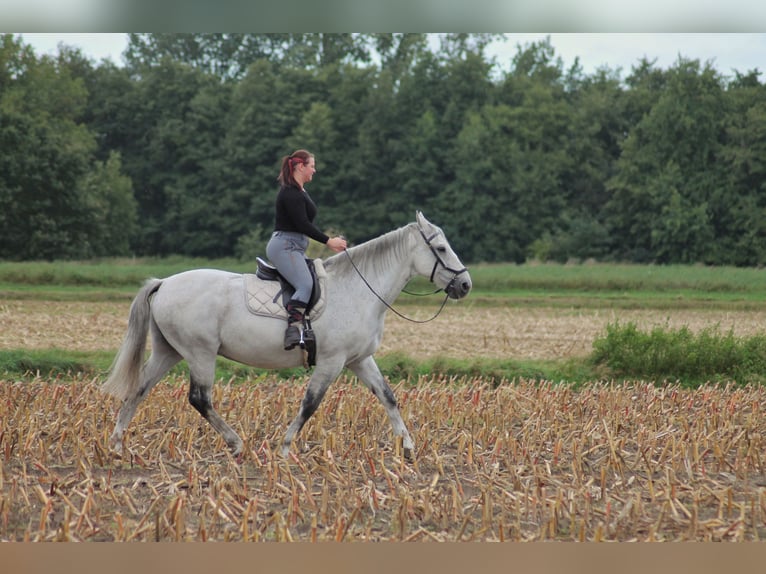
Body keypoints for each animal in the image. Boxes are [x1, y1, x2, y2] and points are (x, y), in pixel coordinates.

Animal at [102, 211, 472, 460]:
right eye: (441, 248)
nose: (465, 284)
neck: (358, 289)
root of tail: (165, 282)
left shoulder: (359, 359)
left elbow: (388, 397)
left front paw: (408, 447)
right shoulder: (332, 361)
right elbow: (310, 403)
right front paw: (284, 448)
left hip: (169, 352)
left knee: (139, 390)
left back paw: (118, 445)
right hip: (200, 354)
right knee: (199, 399)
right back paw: (236, 444)